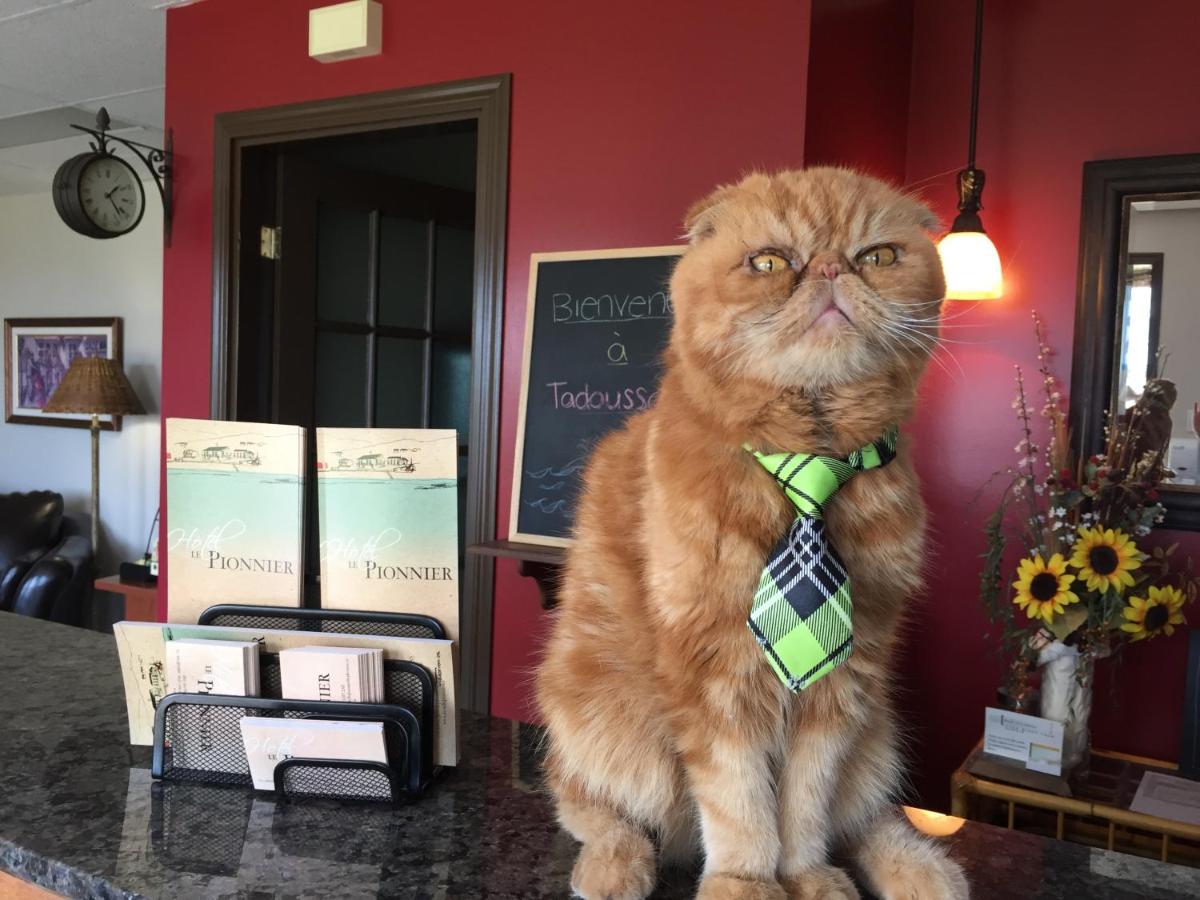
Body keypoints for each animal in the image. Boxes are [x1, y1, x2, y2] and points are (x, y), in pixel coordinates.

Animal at [535, 168, 969, 900]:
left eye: (877, 256)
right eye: (768, 262)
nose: (829, 268)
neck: (810, 462)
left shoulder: (843, 684)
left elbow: (806, 806)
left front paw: (806, 877)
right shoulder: (714, 675)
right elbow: (740, 804)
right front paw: (745, 882)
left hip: (877, 736)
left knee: (868, 818)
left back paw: (923, 870)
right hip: (605, 719)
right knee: (593, 805)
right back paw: (615, 865)